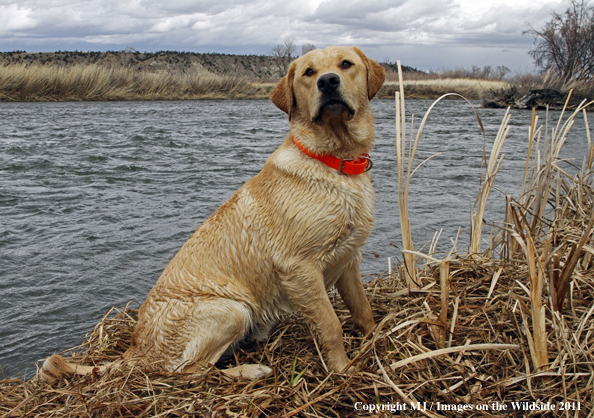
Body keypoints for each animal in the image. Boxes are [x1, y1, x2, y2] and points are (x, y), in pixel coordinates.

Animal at [39, 45, 386, 382]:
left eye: (346, 64)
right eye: (308, 73)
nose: (327, 81)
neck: (334, 161)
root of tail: (136, 349)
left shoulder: (349, 259)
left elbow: (362, 308)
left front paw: (375, 338)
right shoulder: (299, 268)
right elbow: (331, 325)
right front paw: (343, 369)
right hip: (230, 309)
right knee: (188, 371)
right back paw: (250, 371)